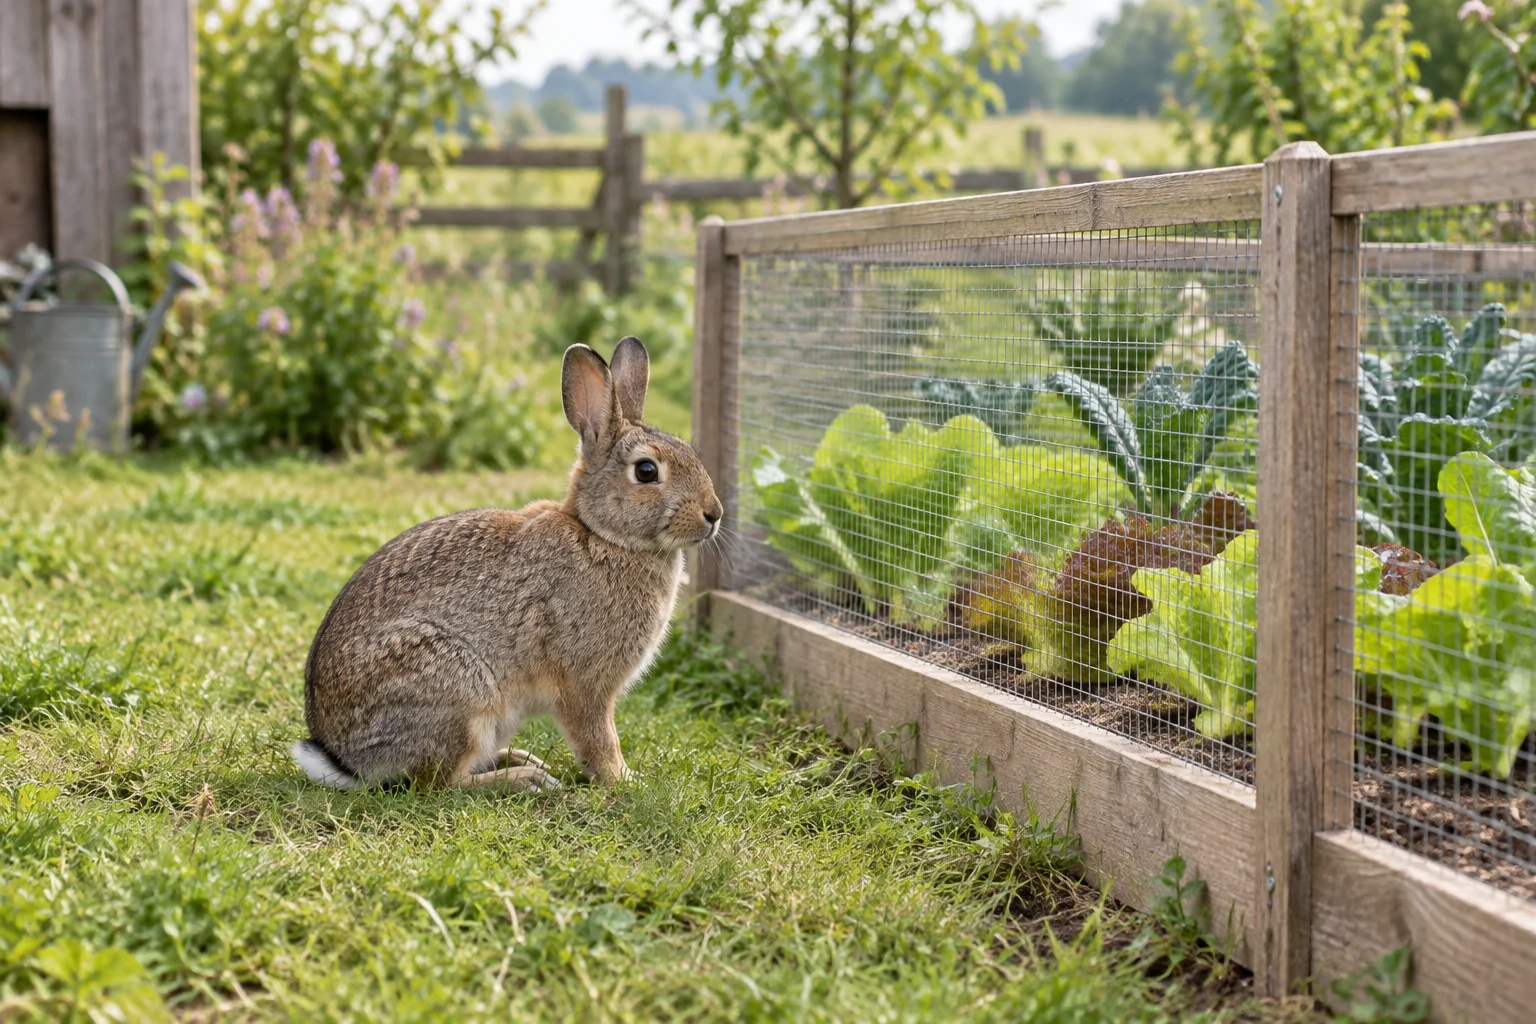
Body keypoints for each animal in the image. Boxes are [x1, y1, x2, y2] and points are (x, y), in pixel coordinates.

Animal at [291, 336, 723, 793]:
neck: (601, 535)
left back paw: (517, 759)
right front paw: (627, 783)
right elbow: (599, 740)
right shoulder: (584, 684)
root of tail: (344, 759)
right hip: (459, 691)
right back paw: (524, 778)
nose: (714, 514)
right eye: (646, 471)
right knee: (438, 783)